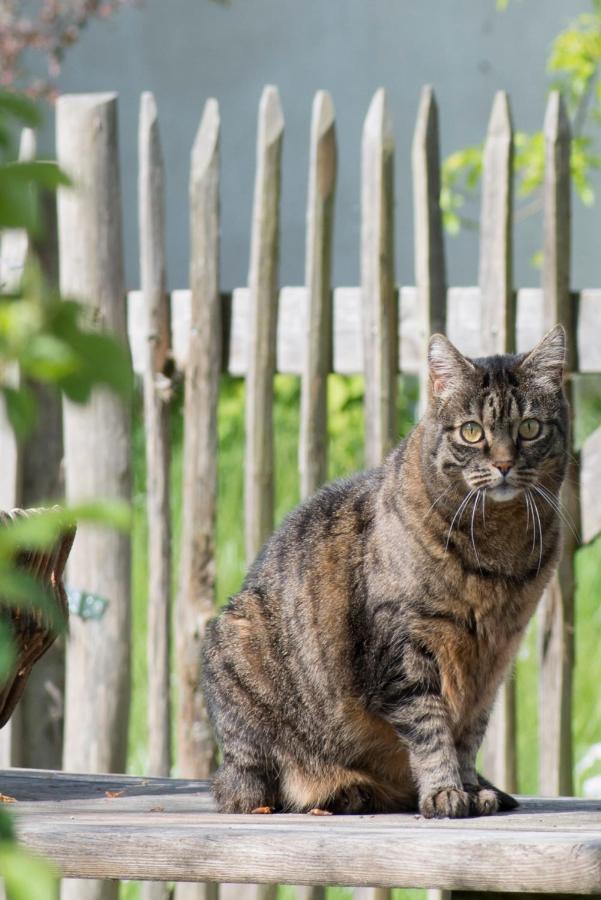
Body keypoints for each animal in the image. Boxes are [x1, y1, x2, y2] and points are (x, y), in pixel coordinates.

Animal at [202, 324, 568, 816]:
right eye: (472, 432)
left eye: (529, 428)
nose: (505, 463)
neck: (497, 550)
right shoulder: (403, 652)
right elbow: (431, 729)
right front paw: (444, 791)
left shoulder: (490, 663)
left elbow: (467, 735)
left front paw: (471, 788)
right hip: (238, 650)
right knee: (259, 787)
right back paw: (341, 789)